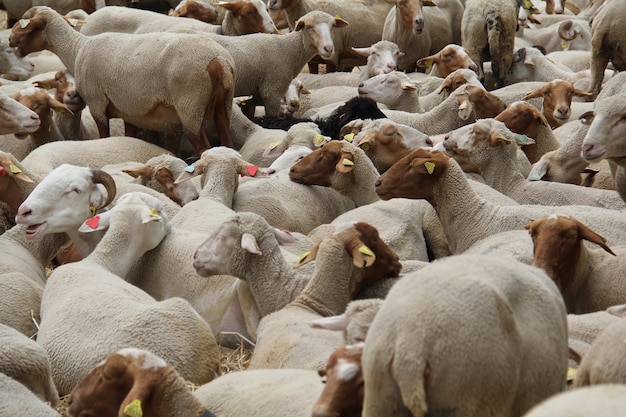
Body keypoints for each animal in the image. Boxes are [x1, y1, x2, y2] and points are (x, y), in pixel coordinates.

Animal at [12, 5, 236, 155]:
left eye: (24, 26)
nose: (10, 39)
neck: (77, 49)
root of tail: (219, 60)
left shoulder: (97, 103)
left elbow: (104, 136)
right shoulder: (128, 109)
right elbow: (129, 137)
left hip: (190, 107)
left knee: (204, 148)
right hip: (223, 107)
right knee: (228, 143)